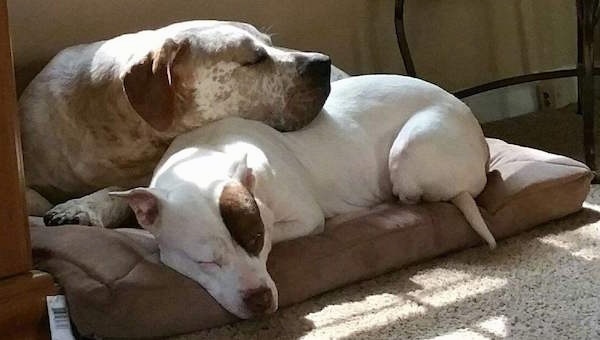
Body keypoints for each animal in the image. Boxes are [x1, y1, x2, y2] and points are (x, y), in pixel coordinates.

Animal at [21, 19, 332, 224]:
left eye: (271, 44)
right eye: (255, 59)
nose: (323, 62)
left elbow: (120, 192)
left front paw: (83, 207)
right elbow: (33, 199)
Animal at [110, 74, 494, 318]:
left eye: (257, 239)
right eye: (205, 262)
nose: (260, 299)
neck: (203, 158)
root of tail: (481, 144)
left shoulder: (305, 218)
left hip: (408, 152)